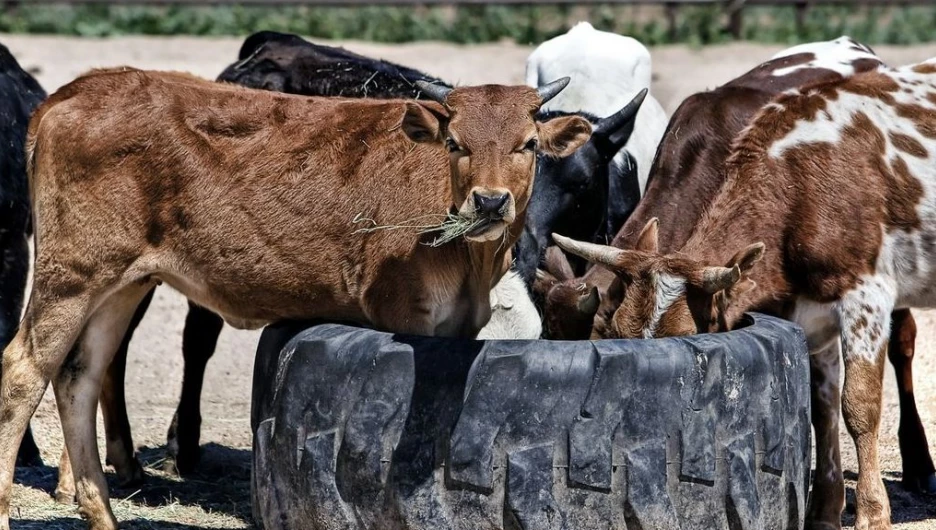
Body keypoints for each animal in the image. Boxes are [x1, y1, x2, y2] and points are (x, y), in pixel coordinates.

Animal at [0, 68, 591, 530]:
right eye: (455, 143)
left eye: (528, 144)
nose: (489, 202)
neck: (471, 261)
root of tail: (77, 90)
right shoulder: (406, 314)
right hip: (72, 273)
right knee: (23, 371)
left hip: (122, 283)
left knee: (80, 376)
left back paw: (102, 512)